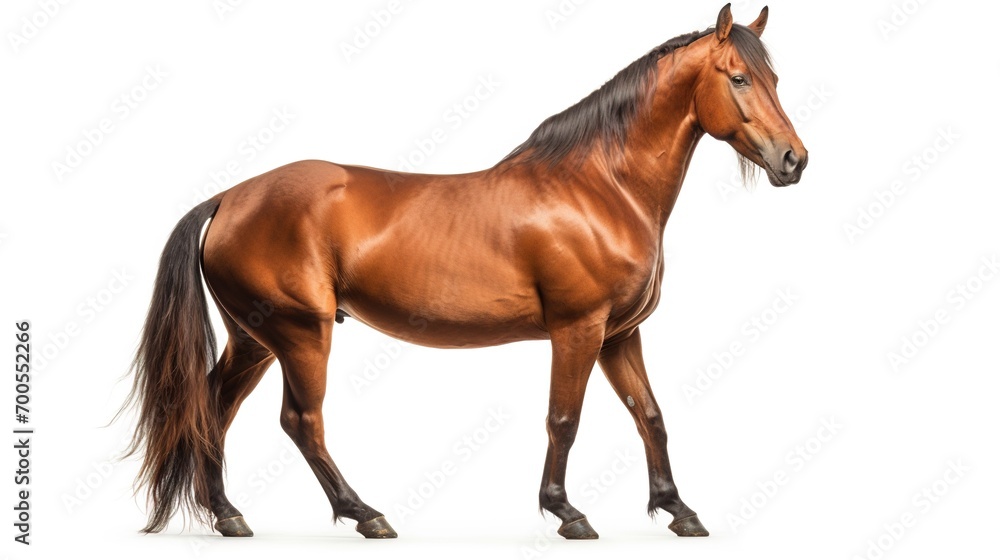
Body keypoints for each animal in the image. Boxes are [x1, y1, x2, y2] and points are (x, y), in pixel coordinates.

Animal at [122, 3, 807, 540]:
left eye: (774, 77)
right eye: (739, 78)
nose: (793, 160)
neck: (599, 189)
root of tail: (229, 198)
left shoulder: (620, 334)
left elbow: (651, 416)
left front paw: (677, 510)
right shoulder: (578, 329)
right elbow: (564, 419)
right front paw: (567, 513)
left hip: (254, 339)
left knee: (211, 407)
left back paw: (228, 514)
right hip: (300, 334)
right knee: (301, 421)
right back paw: (365, 514)